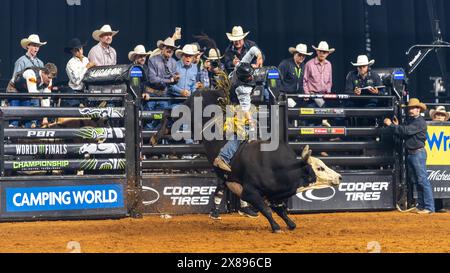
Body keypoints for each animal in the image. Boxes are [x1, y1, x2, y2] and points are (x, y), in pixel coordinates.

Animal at [151, 88, 342, 232]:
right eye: (319, 168)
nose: (339, 177)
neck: (278, 168)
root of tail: (203, 90)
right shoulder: (250, 191)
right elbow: (266, 210)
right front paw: (276, 227)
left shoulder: (274, 194)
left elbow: (280, 209)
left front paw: (290, 224)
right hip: (189, 113)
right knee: (169, 112)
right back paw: (156, 136)